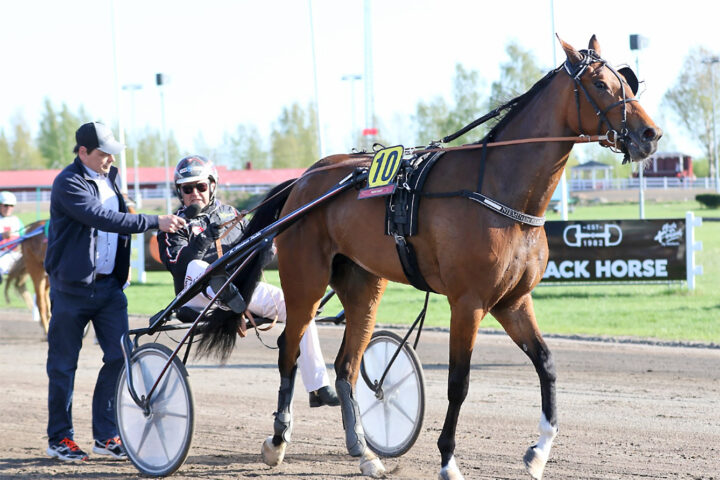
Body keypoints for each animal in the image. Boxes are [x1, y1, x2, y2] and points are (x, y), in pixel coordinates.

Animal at [200, 35, 660, 478]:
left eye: (626, 83)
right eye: (600, 85)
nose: (650, 135)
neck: (499, 189)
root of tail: (303, 182)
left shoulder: (513, 301)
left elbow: (546, 363)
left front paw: (539, 452)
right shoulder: (468, 303)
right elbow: (459, 382)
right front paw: (448, 460)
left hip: (363, 285)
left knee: (347, 366)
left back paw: (365, 452)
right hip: (304, 282)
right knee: (288, 350)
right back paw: (277, 441)